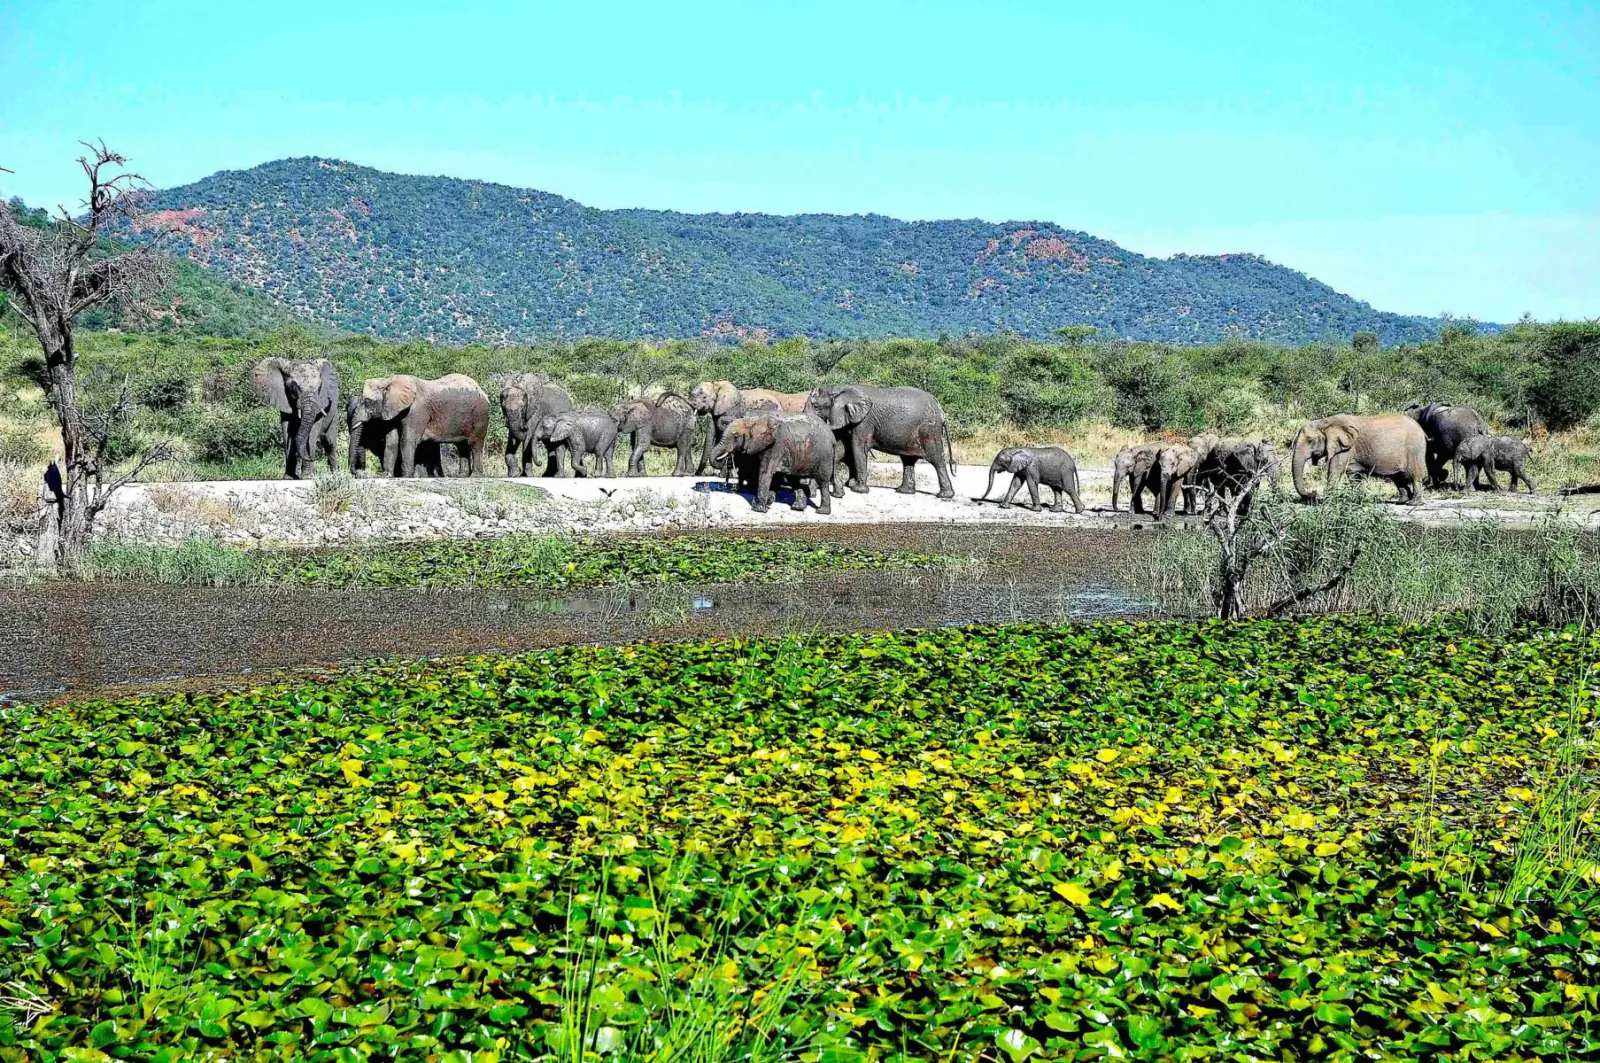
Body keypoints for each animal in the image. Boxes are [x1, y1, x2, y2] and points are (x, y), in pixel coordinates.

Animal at [347, 374, 490, 478]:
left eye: (367, 401)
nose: (358, 473)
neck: (388, 380)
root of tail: (482, 391)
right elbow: (391, 441)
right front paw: (386, 476)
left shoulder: (417, 411)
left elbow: (407, 441)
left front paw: (405, 477)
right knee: (462, 446)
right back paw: (461, 476)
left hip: (480, 415)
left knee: (475, 444)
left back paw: (475, 476)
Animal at [805, 385, 956, 499]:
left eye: (816, 406)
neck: (837, 388)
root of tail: (940, 409)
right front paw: (851, 485)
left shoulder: (863, 421)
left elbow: (858, 447)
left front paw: (858, 490)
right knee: (908, 460)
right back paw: (904, 491)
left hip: (929, 429)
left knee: (937, 459)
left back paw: (944, 496)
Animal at [1292, 413, 1427, 504]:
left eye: (1310, 440)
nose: (1313, 494)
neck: (1325, 422)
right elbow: (1353, 475)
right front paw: (1355, 499)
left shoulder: (1346, 446)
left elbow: (1335, 469)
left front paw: (1328, 501)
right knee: (1398, 478)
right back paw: (1402, 501)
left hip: (1414, 449)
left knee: (1414, 476)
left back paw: (1414, 503)